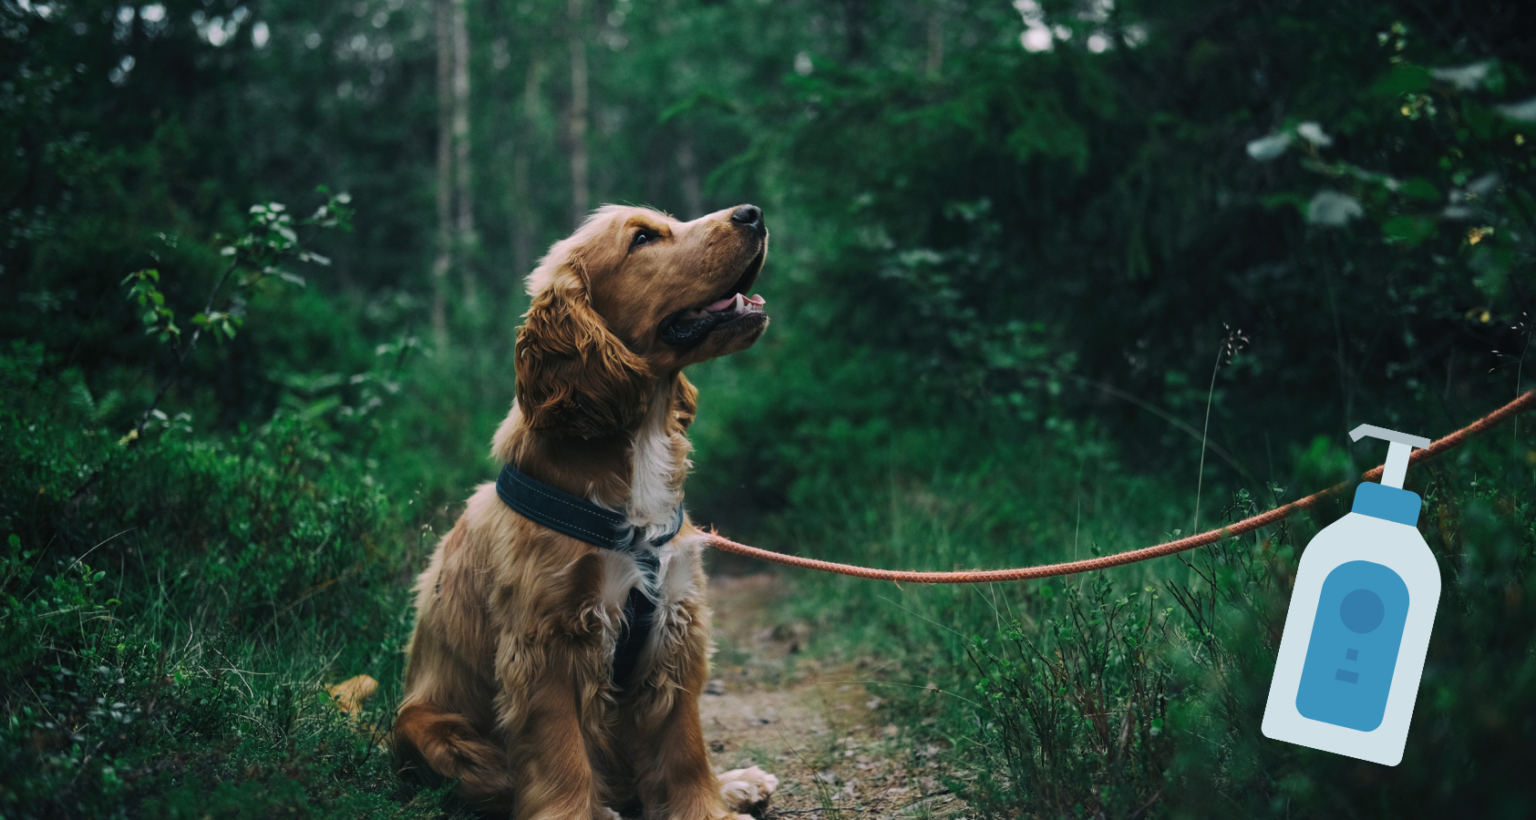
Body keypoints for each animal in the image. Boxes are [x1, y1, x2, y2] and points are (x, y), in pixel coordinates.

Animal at [396, 204, 780, 820]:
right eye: (643, 238)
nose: (753, 212)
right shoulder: (547, 644)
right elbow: (561, 759)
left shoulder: (676, 622)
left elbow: (684, 746)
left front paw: (706, 805)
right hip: (426, 727)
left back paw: (738, 782)